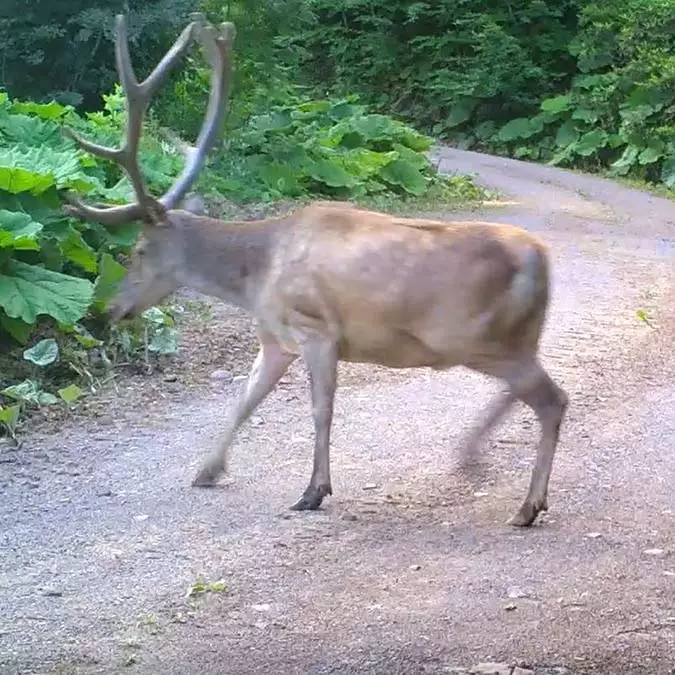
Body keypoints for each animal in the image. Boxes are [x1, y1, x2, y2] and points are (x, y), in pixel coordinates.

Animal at [64, 11, 572, 528]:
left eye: (139, 249)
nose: (109, 309)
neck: (256, 275)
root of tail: (541, 260)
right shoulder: (274, 339)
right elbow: (244, 400)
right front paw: (207, 469)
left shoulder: (315, 328)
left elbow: (320, 410)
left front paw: (313, 490)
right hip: (509, 338)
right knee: (534, 391)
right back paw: (475, 458)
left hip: (473, 336)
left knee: (553, 398)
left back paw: (527, 505)